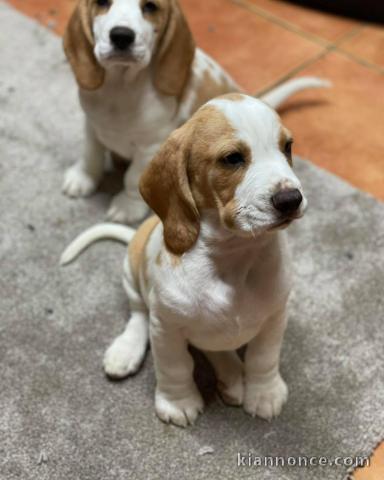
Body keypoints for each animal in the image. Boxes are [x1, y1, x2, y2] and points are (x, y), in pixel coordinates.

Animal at [61, 94, 308, 428]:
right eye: (232, 158)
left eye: (287, 147)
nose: (291, 200)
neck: (232, 256)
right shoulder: (167, 327)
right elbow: (176, 366)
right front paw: (177, 402)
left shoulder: (274, 317)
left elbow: (263, 358)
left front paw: (264, 393)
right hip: (131, 274)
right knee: (139, 314)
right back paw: (126, 351)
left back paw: (232, 376)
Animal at [63, 0, 328, 224]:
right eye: (101, 2)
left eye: (150, 6)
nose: (121, 36)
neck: (120, 87)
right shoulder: (92, 124)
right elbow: (91, 153)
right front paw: (83, 177)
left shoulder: (150, 146)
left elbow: (132, 177)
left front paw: (127, 206)